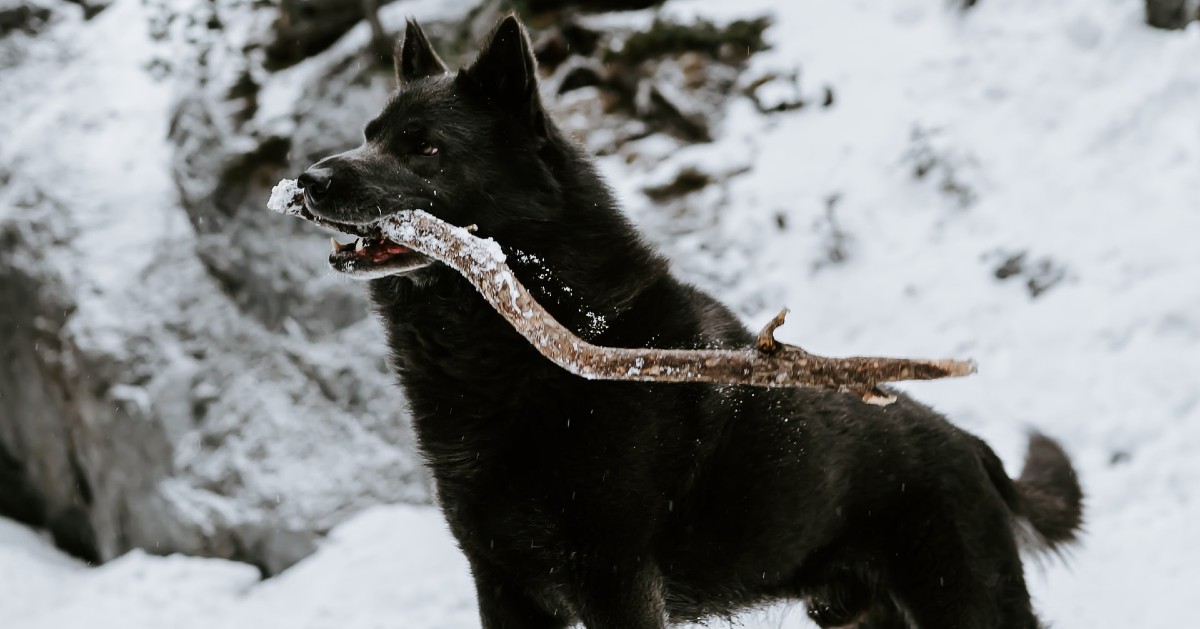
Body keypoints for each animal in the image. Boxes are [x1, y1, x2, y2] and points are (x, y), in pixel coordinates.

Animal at [295, 15, 1084, 629]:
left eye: (426, 148)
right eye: (369, 134)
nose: (308, 181)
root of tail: (973, 448)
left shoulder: (615, 579)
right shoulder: (503, 583)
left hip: (965, 604)